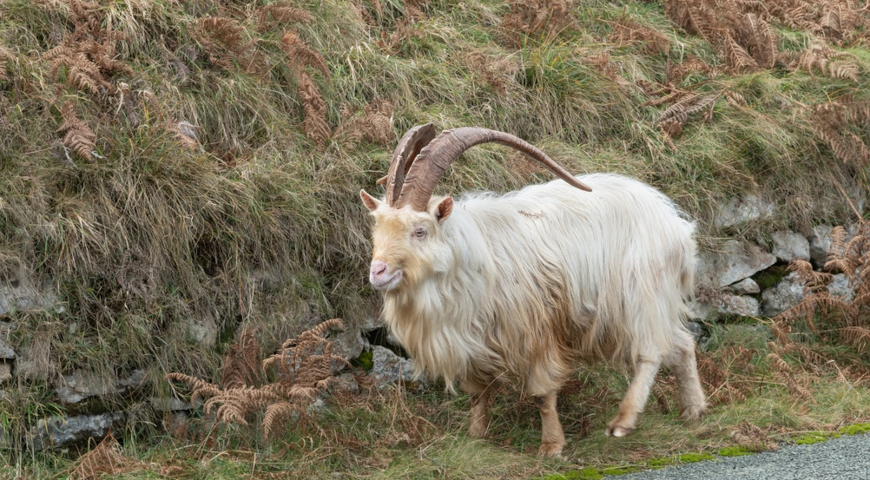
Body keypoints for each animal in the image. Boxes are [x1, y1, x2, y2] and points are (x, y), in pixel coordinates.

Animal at [359, 124, 706, 456]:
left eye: (419, 231)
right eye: (378, 228)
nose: (378, 272)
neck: (466, 255)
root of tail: (675, 223)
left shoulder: (537, 332)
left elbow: (541, 393)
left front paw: (551, 447)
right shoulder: (471, 340)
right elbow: (477, 393)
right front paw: (476, 436)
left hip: (641, 295)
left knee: (651, 351)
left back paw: (624, 421)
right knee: (682, 343)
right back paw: (693, 409)